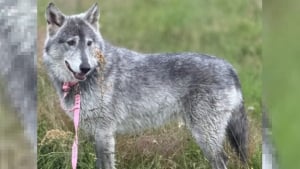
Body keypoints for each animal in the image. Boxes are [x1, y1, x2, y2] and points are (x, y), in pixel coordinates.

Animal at [42, 2, 248, 169]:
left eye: (89, 43)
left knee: (223, 160)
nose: (85, 67)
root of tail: (230, 67)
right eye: (71, 42)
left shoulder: (104, 132)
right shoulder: (97, 133)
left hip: (205, 137)